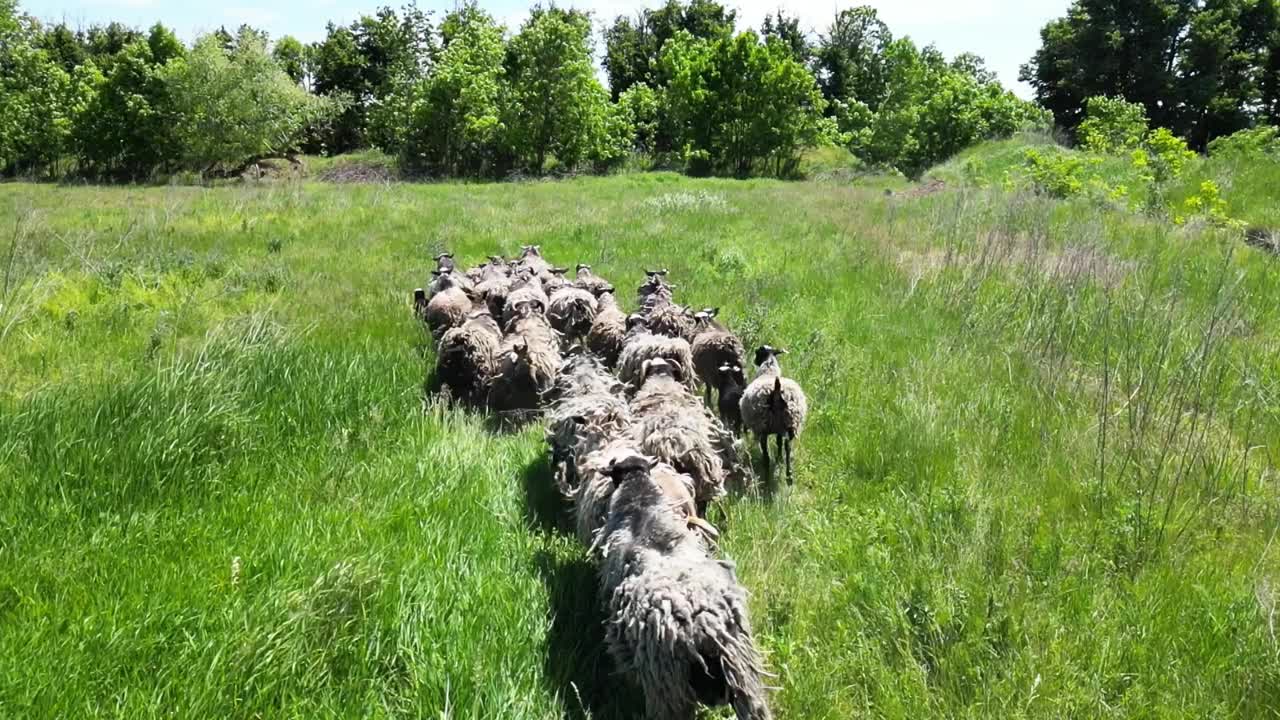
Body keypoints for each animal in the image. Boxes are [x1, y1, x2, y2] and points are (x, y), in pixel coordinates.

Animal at [737, 345, 803, 484]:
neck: (769, 372)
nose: (754, 361)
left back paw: (766, 477)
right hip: (790, 423)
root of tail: (776, 390)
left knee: (766, 455)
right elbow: (779, 443)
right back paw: (789, 475)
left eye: (758, 352)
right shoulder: (779, 429)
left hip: (762, 426)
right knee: (788, 447)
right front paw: (779, 459)